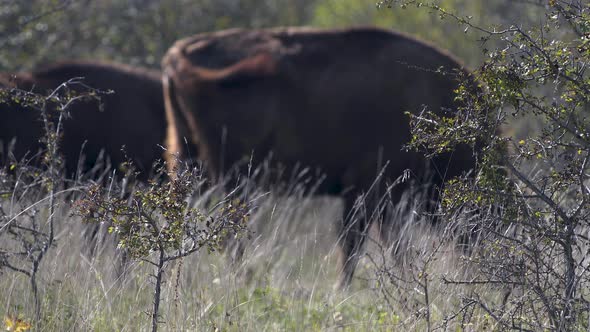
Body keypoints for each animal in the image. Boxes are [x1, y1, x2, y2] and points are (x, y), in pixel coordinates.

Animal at [162, 27, 480, 286]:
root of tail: (178, 54)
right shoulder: (372, 193)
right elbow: (363, 247)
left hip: (190, 167)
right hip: (235, 181)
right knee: (231, 237)